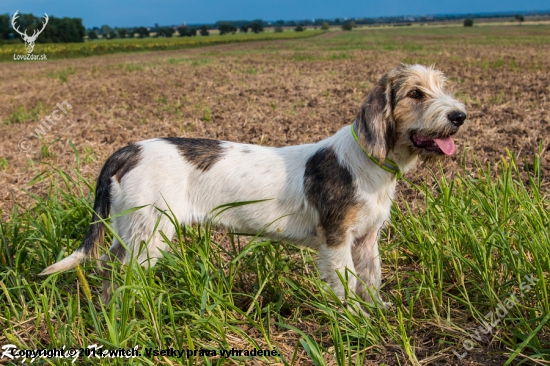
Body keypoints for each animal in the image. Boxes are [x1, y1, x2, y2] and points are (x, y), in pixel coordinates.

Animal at [41, 64, 468, 304]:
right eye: (415, 93)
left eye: (442, 87)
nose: (460, 115)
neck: (368, 162)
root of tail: (129, 149)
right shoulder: (336, 242)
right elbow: (346, 288)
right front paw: (356, 324)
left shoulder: (366, 240)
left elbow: (371, 282)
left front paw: (378, 315)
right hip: (149, 233)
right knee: (119, 274)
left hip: (130, 228)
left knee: (107, 266)